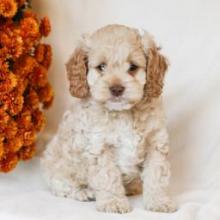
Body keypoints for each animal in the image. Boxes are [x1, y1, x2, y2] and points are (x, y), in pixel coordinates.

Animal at [40, 24, 175, 213]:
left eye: (133, 67)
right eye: (101, 67)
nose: (116, 89)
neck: (123, 113)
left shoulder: (155, 143)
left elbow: (157, 174)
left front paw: (159, 201)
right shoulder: (99, 147)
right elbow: (108, 176)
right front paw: (114, 202)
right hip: (56, 166)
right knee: (62, 186)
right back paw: (84, 192)